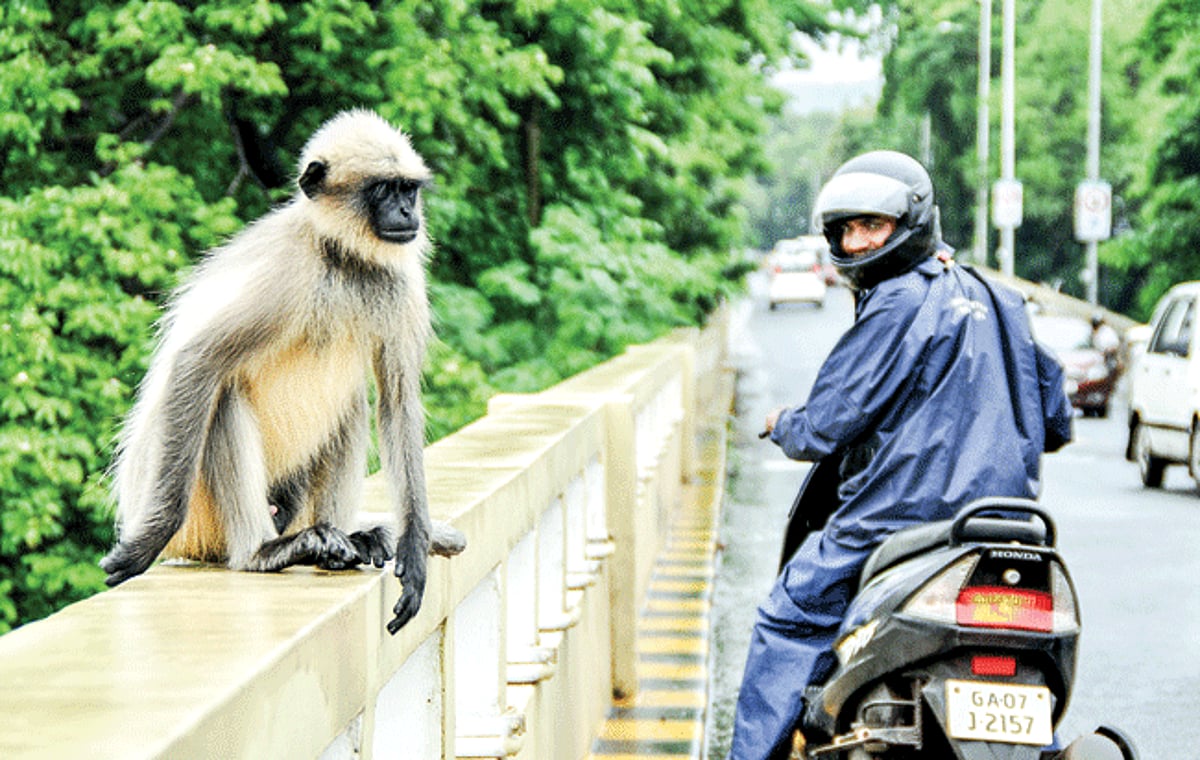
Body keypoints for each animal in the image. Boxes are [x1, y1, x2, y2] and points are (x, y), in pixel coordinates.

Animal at [101, 109, 466, 634]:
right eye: (382, 191)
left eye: (408, 190)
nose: (406, 214)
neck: (342, 257)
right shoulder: (289, 273)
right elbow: (196, 362)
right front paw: (145, 542)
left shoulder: (399, 284)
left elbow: (397, 407)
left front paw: (413, 553)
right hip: (201, 521)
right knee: (222, 392)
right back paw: (261, 553)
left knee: (350, 405)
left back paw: (343, 541)